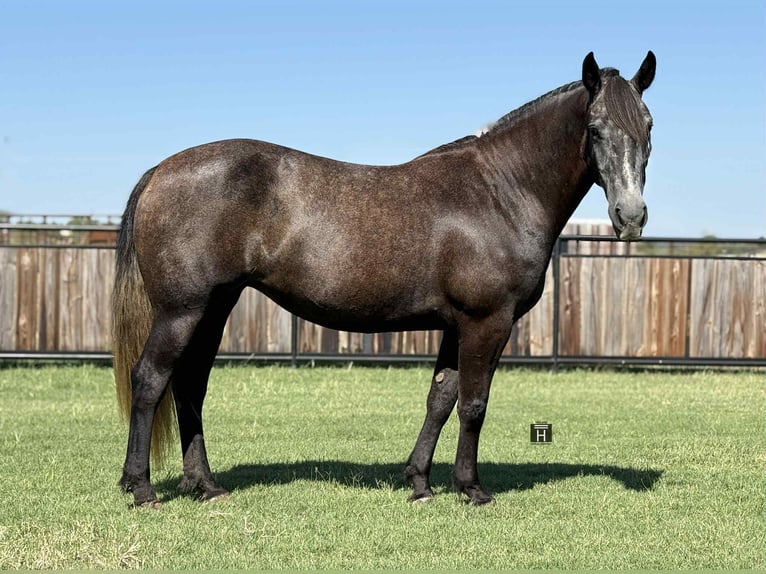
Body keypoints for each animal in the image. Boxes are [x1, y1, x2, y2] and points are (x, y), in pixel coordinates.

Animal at [113, 51, 656, 507]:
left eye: (648, 125)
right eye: (595, 127)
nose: (630, 216)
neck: (501, 192)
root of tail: (161, 170)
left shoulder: (456, 325)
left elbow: (440, 398)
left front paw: (419, 483)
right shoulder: (487, 321)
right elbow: (473, 404)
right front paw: (471, 488)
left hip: (213, 308)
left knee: (190, 385)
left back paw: (205, 485)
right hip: (182, 311)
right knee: (150, 379)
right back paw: (141, 488)